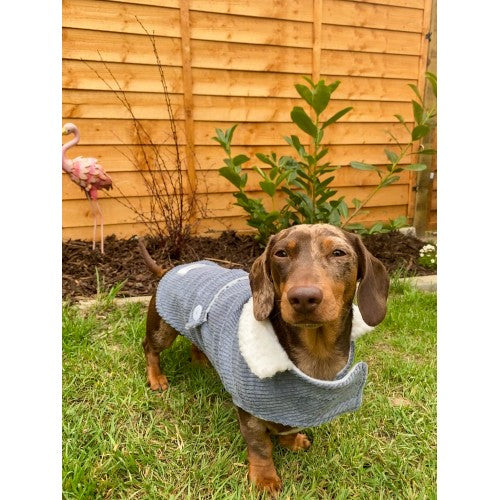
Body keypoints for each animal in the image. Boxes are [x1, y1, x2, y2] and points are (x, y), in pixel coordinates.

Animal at [139, 225, 388, 494]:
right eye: (281, 253)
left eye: (339, 252)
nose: (303, 298)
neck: (315, 354)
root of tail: (171, 268)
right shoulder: (249, 412)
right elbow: (260, 446)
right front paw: (264, 478)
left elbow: (289, 425)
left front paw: (292, 441)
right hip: (162, 329)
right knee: (150, 348)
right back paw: (156, 378)